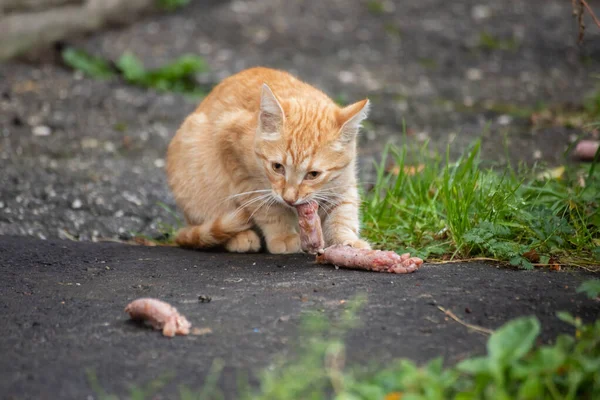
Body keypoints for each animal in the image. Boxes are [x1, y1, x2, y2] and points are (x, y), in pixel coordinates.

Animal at [165, 65, 370, 253]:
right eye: (277, 167)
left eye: (313, 174)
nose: (289, 198)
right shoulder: (243, 174)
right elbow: (270, 209)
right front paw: (284, 236)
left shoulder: (343, 183)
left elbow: (343, 214)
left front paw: (347, 241)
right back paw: (240, 237)